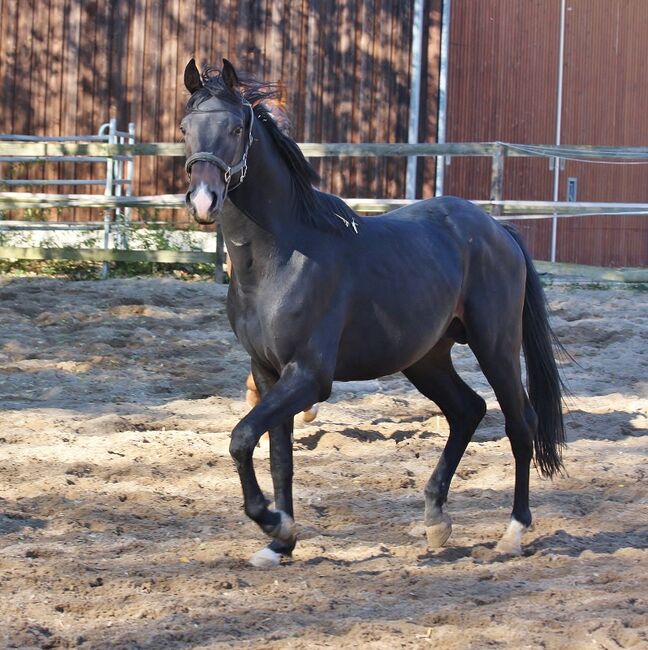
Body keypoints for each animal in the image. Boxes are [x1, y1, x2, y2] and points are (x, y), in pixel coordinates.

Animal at [180, 60, 564, 568]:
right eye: (185, 129)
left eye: (236, 128)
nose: (204, 199)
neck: (280, 258)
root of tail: (497, 229)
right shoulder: (267, 372)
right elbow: (280, 458)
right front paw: (280, 542)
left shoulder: (308, 376)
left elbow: (242, 438)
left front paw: (273, 522)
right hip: (426, 358)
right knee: (467, 410)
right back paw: (436, 521)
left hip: (495, 346)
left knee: (521, 425)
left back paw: (512, 533)